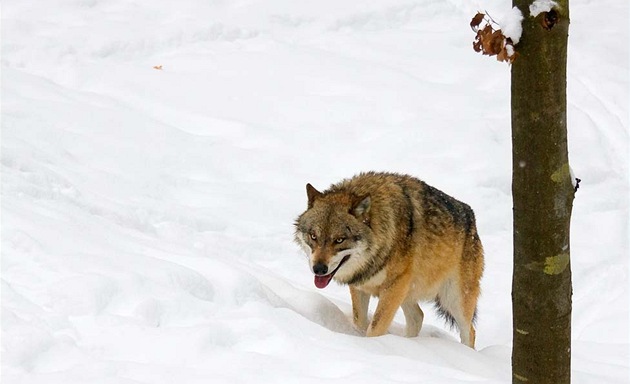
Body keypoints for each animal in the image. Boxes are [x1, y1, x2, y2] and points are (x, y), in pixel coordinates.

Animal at [294, 172, 486, 348]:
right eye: (313, 236)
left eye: (339, 240)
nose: (319, 269)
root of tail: (472, 218)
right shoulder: (360, 286)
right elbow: (360, 322)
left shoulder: (393, 286)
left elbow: (376, 327)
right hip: (410, 292)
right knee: (418, 317)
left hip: (453, 299)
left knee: (469, 331)